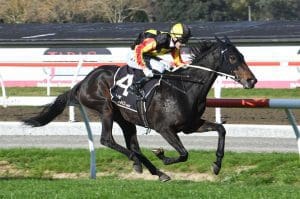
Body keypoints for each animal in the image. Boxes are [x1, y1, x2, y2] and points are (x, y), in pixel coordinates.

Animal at [24, 37, 258, 182]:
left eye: (242, 56)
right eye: (232, 58)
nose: (252, 80)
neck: (185, 88)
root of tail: (83, 81)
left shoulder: (191, 125)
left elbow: (221, 129)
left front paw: (217, 164)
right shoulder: (165, 128)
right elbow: (183, 154)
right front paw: (163, 155)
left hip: (126, 119)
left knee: (133, 146)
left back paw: (154, 170)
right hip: (106, 108)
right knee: (108, 140)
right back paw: (143, 163)